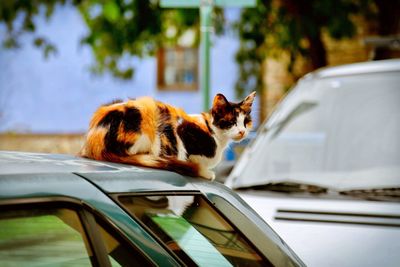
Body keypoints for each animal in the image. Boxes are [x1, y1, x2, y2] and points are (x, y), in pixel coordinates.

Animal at [80, 91, 256, 180]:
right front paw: (205, 172)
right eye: (232, 122)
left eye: (245, 122)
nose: (242, 131)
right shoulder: (182, 130)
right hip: (145, 118)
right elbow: (187, 153)